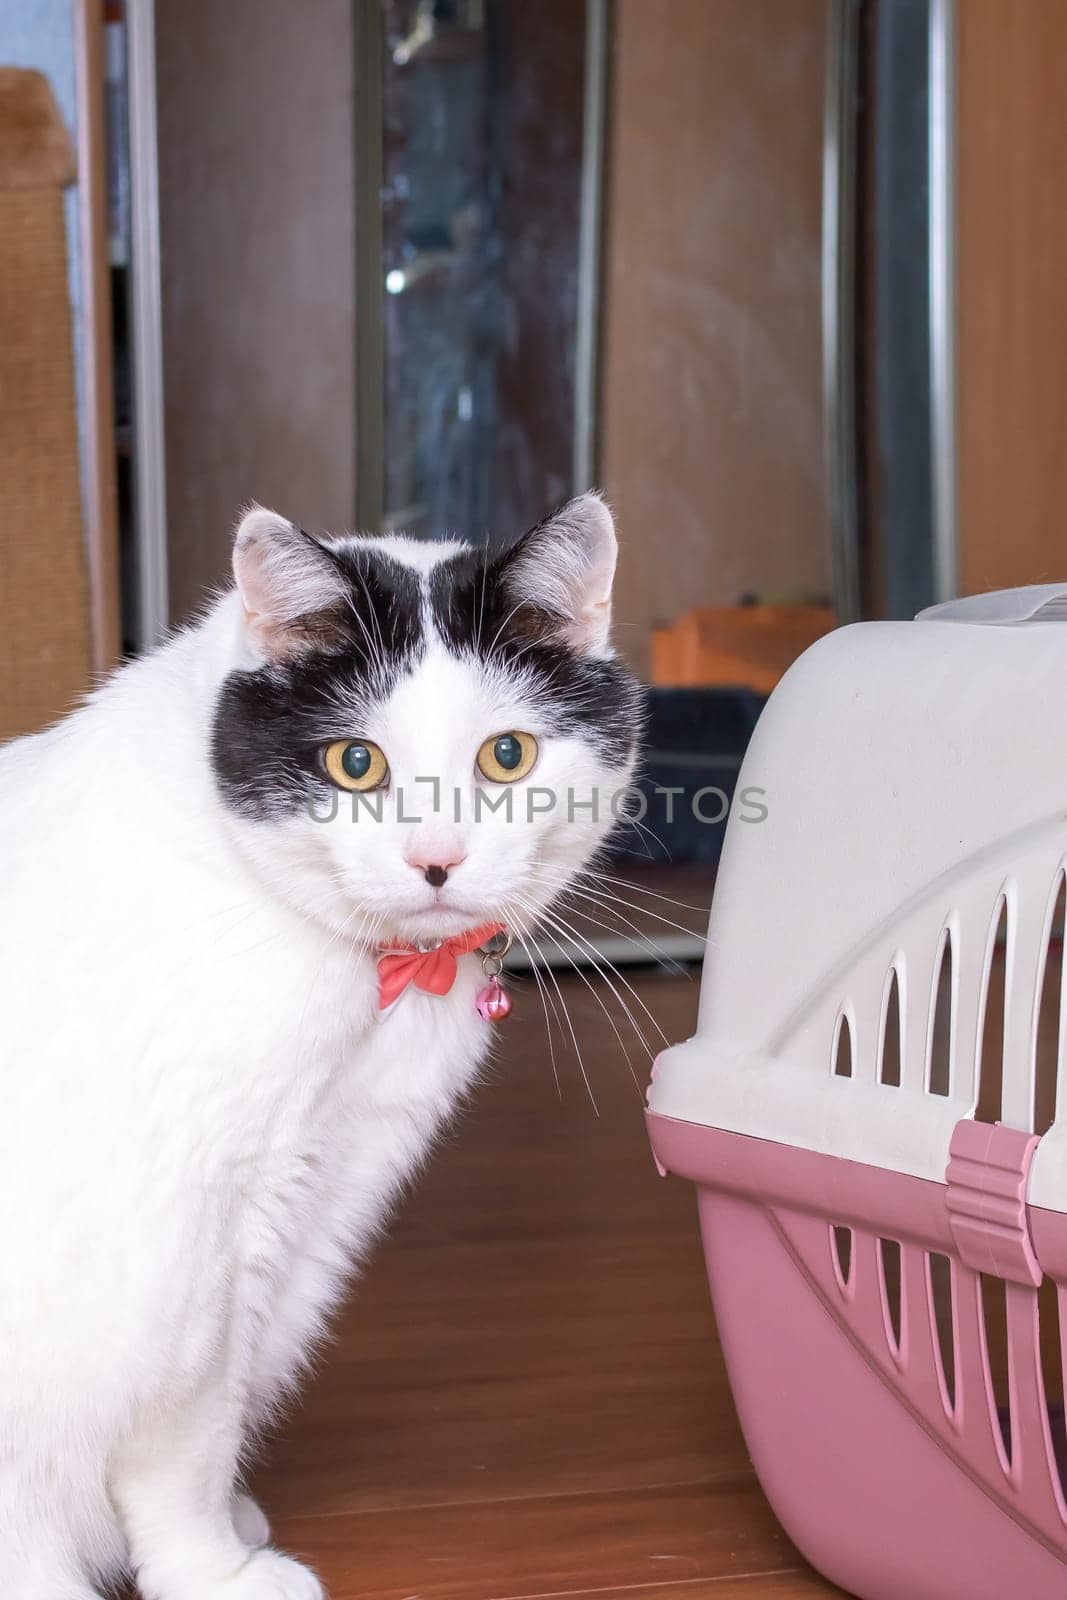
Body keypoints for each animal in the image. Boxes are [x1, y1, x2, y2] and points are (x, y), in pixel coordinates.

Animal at [0, 492, 643, 1593]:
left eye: (506, 756)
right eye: (355, 763)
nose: (436, 858)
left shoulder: (312, 1199)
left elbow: (229, 1397)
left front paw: (221, 1530)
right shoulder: (198, 1235)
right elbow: (187, 1431)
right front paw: (209, 1569)